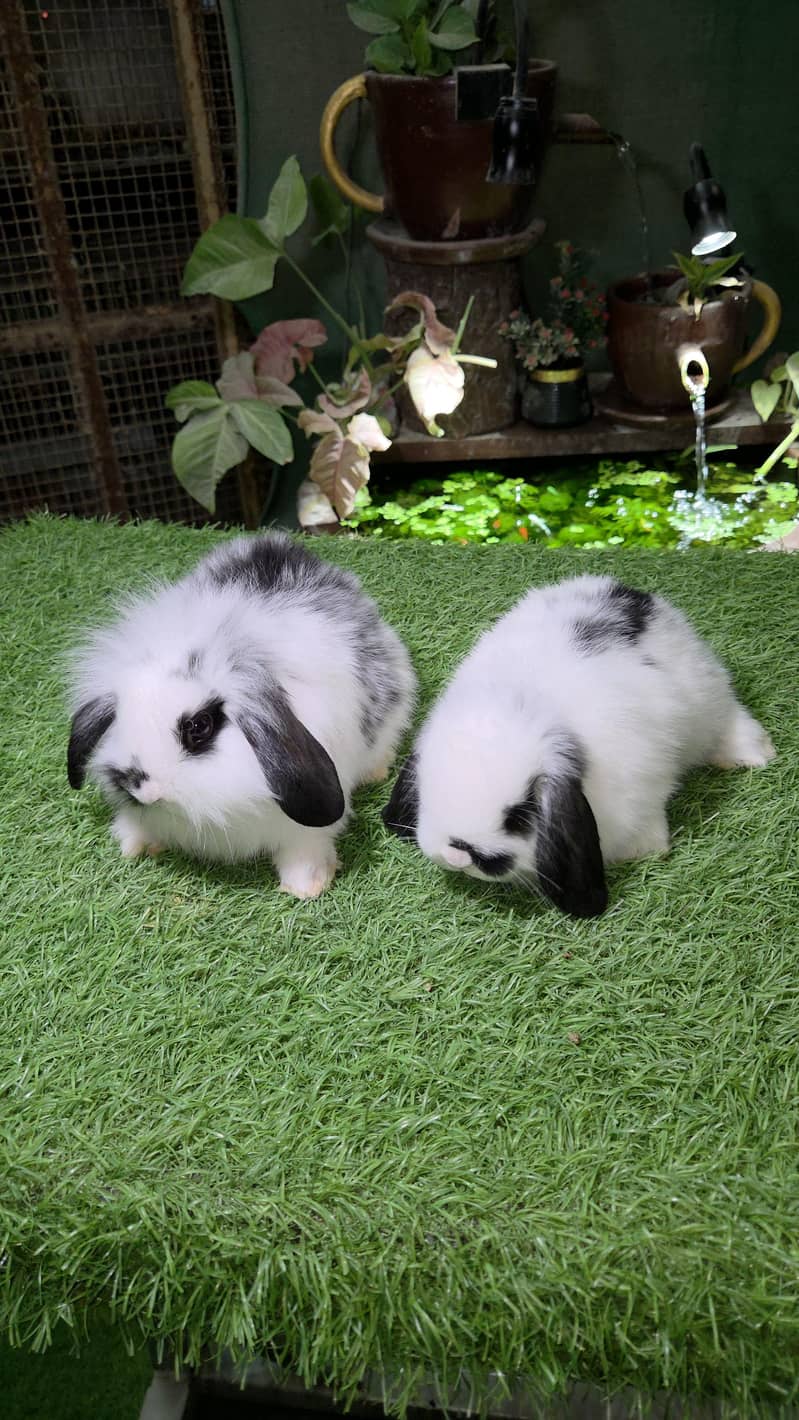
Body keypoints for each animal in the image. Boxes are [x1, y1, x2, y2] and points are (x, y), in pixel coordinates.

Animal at [67, 533, 415, 899]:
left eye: (200, 726)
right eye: (120, 715)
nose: (144, 789)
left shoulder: (306, 827)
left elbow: (305, 847)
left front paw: (306, 886)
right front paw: (133, 844)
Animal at [383, 574, 775, 919]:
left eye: (519, 817)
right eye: (427, 795)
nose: (458, 856)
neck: (526, 705)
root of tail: (630, 594)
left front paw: (644, 851)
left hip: (708, 700)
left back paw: (755, 756)